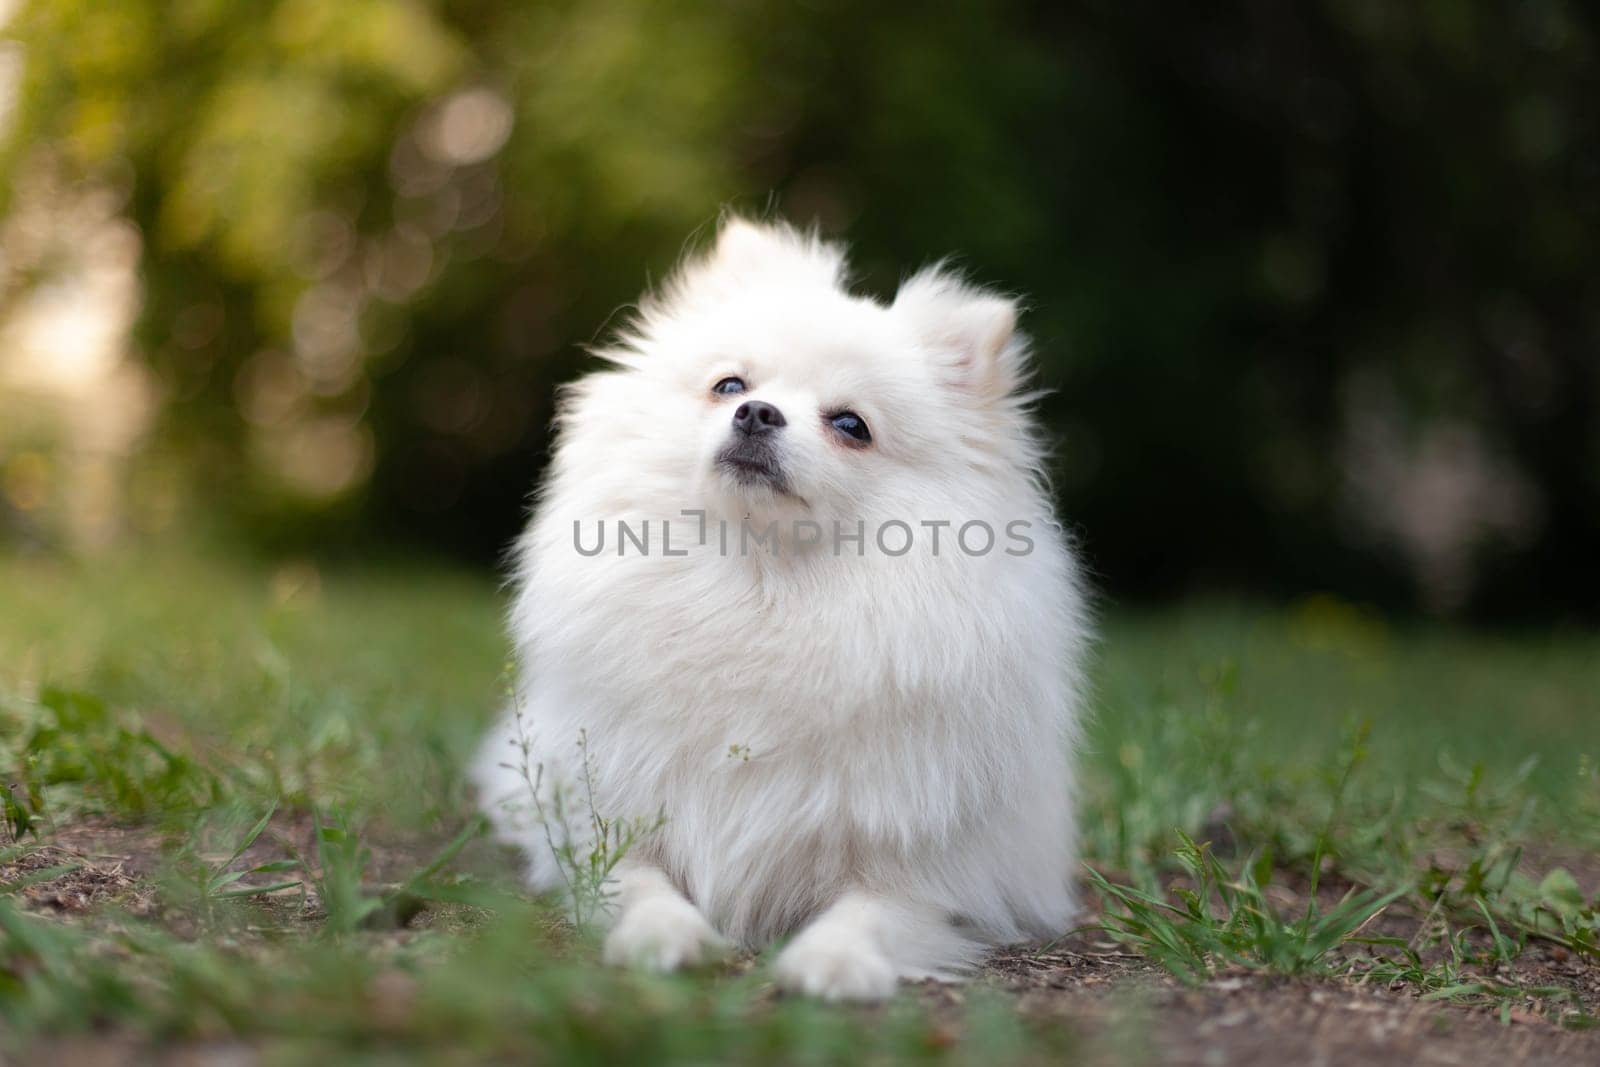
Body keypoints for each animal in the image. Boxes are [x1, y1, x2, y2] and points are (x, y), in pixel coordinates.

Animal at [470, 217, 1088, 1004]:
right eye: (730, 385)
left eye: (850, 424)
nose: (757, 412)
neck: (760, 589)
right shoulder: (610, 823)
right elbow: (635, 882)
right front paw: (662, 938)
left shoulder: (928, 870)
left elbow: (874, 910)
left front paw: (831, 962)